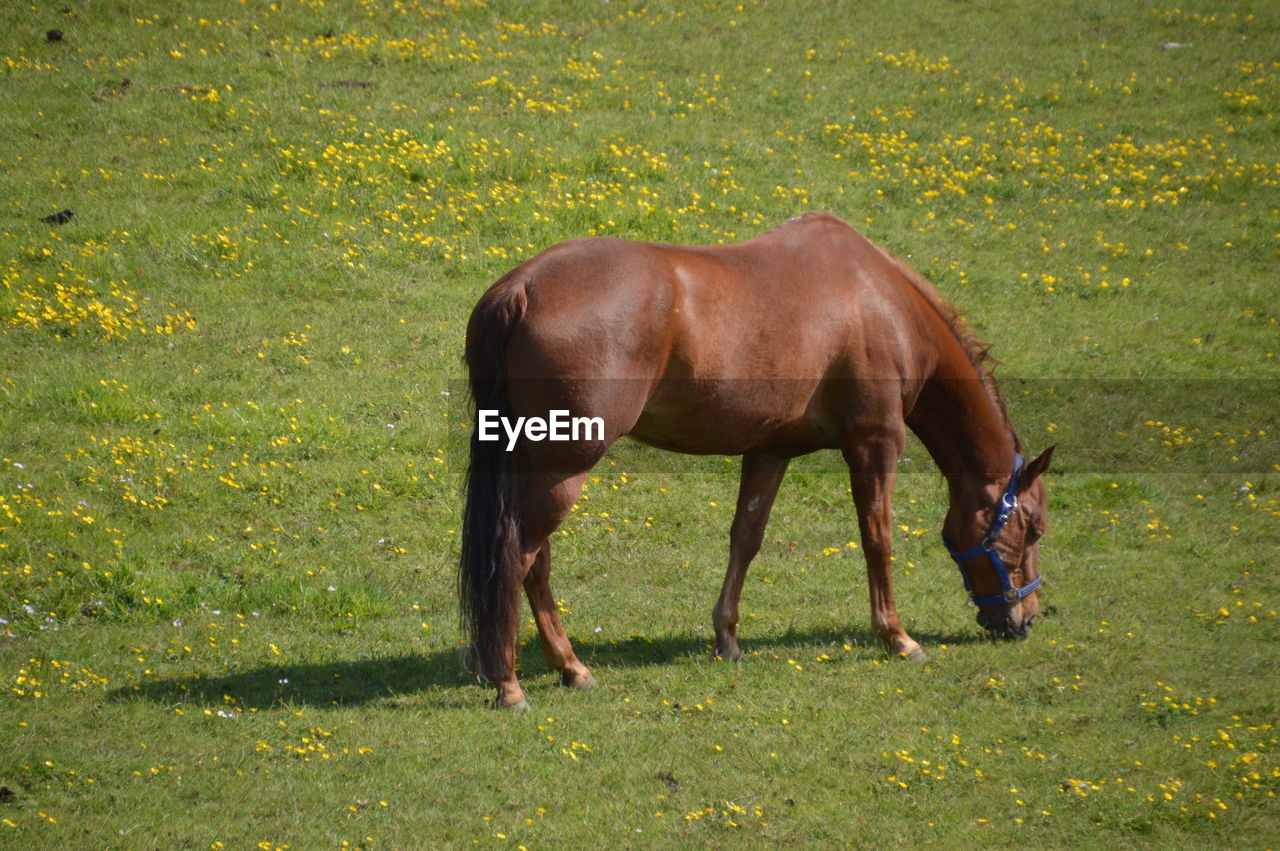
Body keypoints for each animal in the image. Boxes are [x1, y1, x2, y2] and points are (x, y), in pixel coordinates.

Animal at [458, 212, 1049, 711]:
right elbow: (877, 539)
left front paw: (727, 638)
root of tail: (523, 287)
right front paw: (897, 636)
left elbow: (745, 539)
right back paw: (510, 684)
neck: (879, 302)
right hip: (565, 468)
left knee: (535, 562)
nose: (1024, 620)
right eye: (1034, 528)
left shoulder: (769, 451)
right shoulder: (875, 444)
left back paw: (570, 668)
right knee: (518, 557)